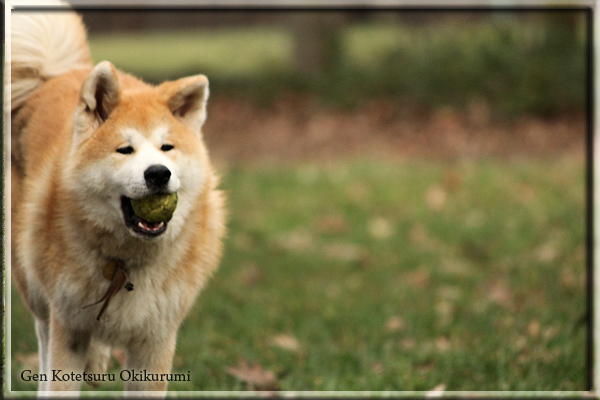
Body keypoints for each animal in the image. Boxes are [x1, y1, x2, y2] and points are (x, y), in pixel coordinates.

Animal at [9, 1, 225, 396]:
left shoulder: (156, 339)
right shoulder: (68, 325)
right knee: (43, 337)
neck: (124, 261)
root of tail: (55, 76)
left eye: (167, 148)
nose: (158, 173)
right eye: (125, 150)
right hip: (34, 284)